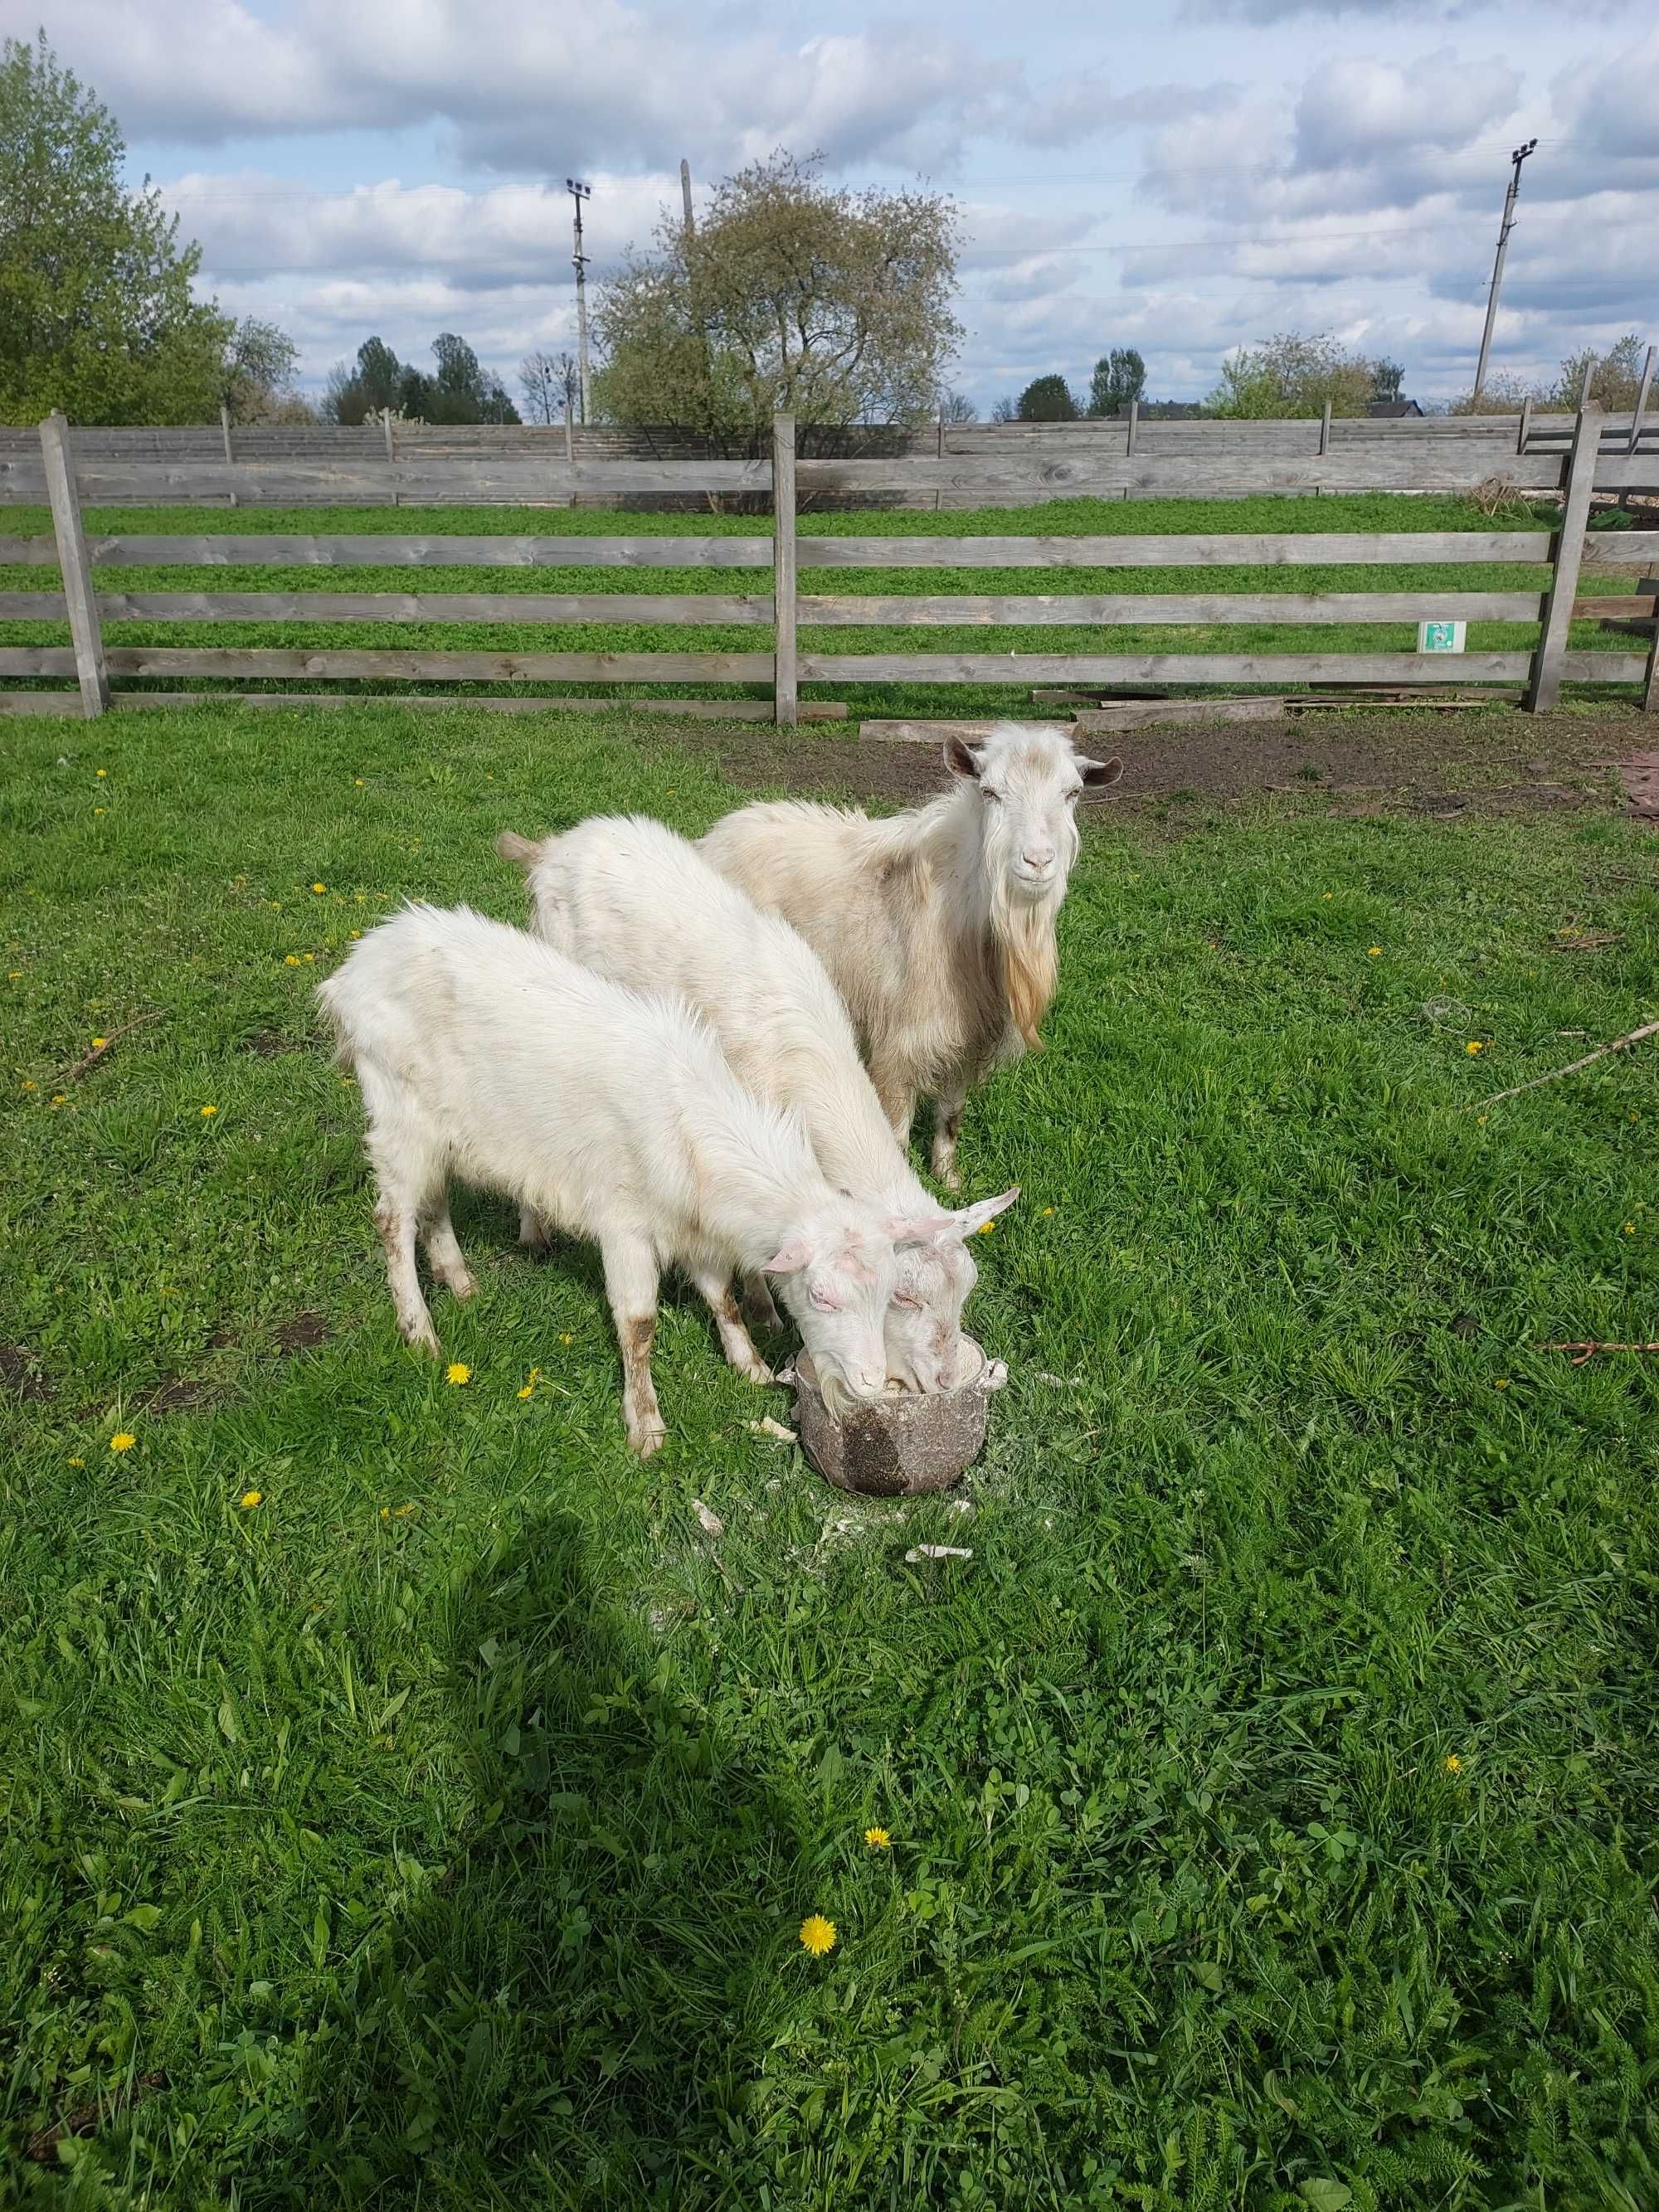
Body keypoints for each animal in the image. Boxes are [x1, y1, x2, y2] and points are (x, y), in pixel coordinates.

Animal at [312, 907, 911, 1460]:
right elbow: (638, 1325)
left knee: (433, 1202)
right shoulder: (624, 1225)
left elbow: (722, 1298)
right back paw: (420, 1331)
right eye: (820, 1296)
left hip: (441, 1132)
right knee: (393, 1219)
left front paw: (751, 1365)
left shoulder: (691, 1226)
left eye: (888, 1293)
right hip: (396, 1110)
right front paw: (646, 1426)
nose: (869, 1383)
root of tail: (359, 962)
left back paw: (460, 1282)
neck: (691, 1130)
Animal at [498, 823, 1013, 1388]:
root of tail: (552, 848)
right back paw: (533, 1232)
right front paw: (762, 1310)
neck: (800, 1063)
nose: (946, 1381)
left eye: (966, 1290)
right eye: (902, 1296)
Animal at [694, 725, 1123, 1194]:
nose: (1038, 861)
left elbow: (951, 1114)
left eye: (1073, 792)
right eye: (990, 792)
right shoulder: (900, 1044)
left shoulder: (965, 1041)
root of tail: (715, 836)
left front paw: (949, 1180)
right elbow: (896, 1131)